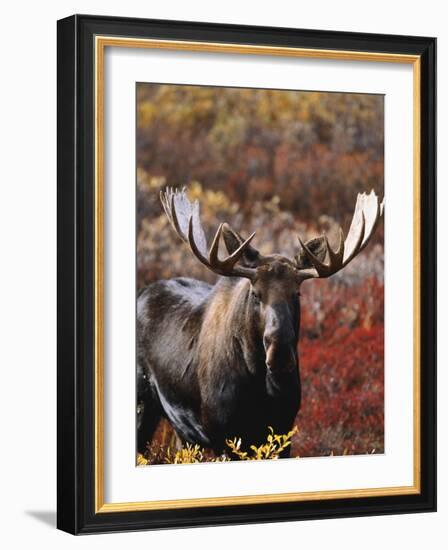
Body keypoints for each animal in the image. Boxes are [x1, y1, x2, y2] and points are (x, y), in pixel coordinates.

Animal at [135, 188, 384, 460]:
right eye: (256, 293)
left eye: (297, 293)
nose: (280, 353)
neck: (259, 387)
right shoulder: (223, 435)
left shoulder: (284, 430)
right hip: (143, 405)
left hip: (184, 433)